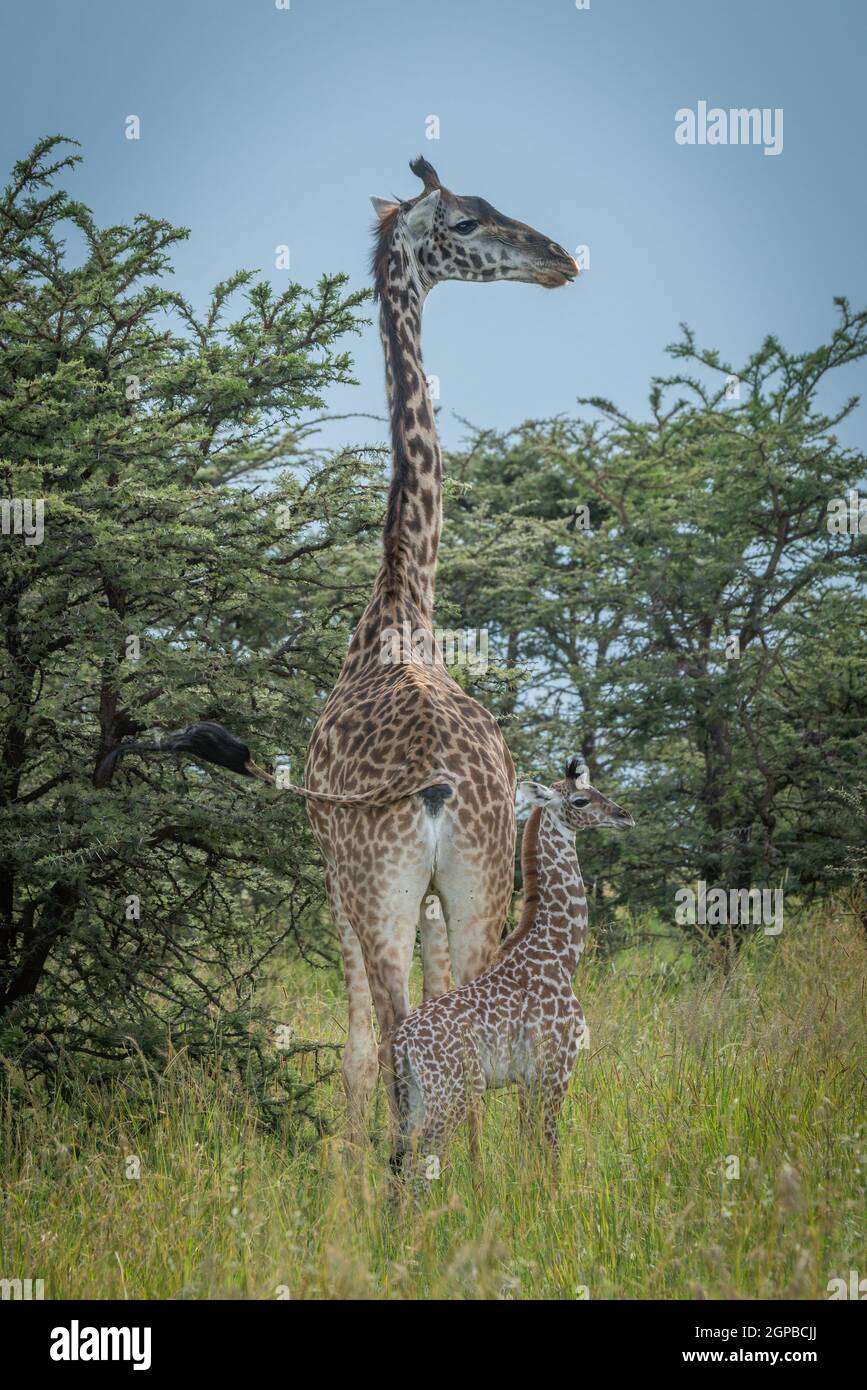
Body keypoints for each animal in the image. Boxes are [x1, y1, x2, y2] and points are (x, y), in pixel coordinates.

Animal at [304, 158, 580, 1127]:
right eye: (467, 219)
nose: (559, 257)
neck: (400, 605)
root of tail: (434, 784)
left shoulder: (339, 880)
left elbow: (355, 1055)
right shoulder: (420, 897)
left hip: (384, 886)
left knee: (391, 1037)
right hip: (475, 879)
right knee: (458, 1016)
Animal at [389, 758, 633, 1176]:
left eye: (597, 789)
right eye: (581, 800)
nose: (624, 816)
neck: (561, 955)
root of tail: (403, 1043)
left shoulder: (527, 1078)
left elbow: (526, 1143)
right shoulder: (556, 1066)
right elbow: (550, 1144)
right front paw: (555, 1190)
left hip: (413, 1098)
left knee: (398, 1163)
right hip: (451, 1094)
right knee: (421, 1163)